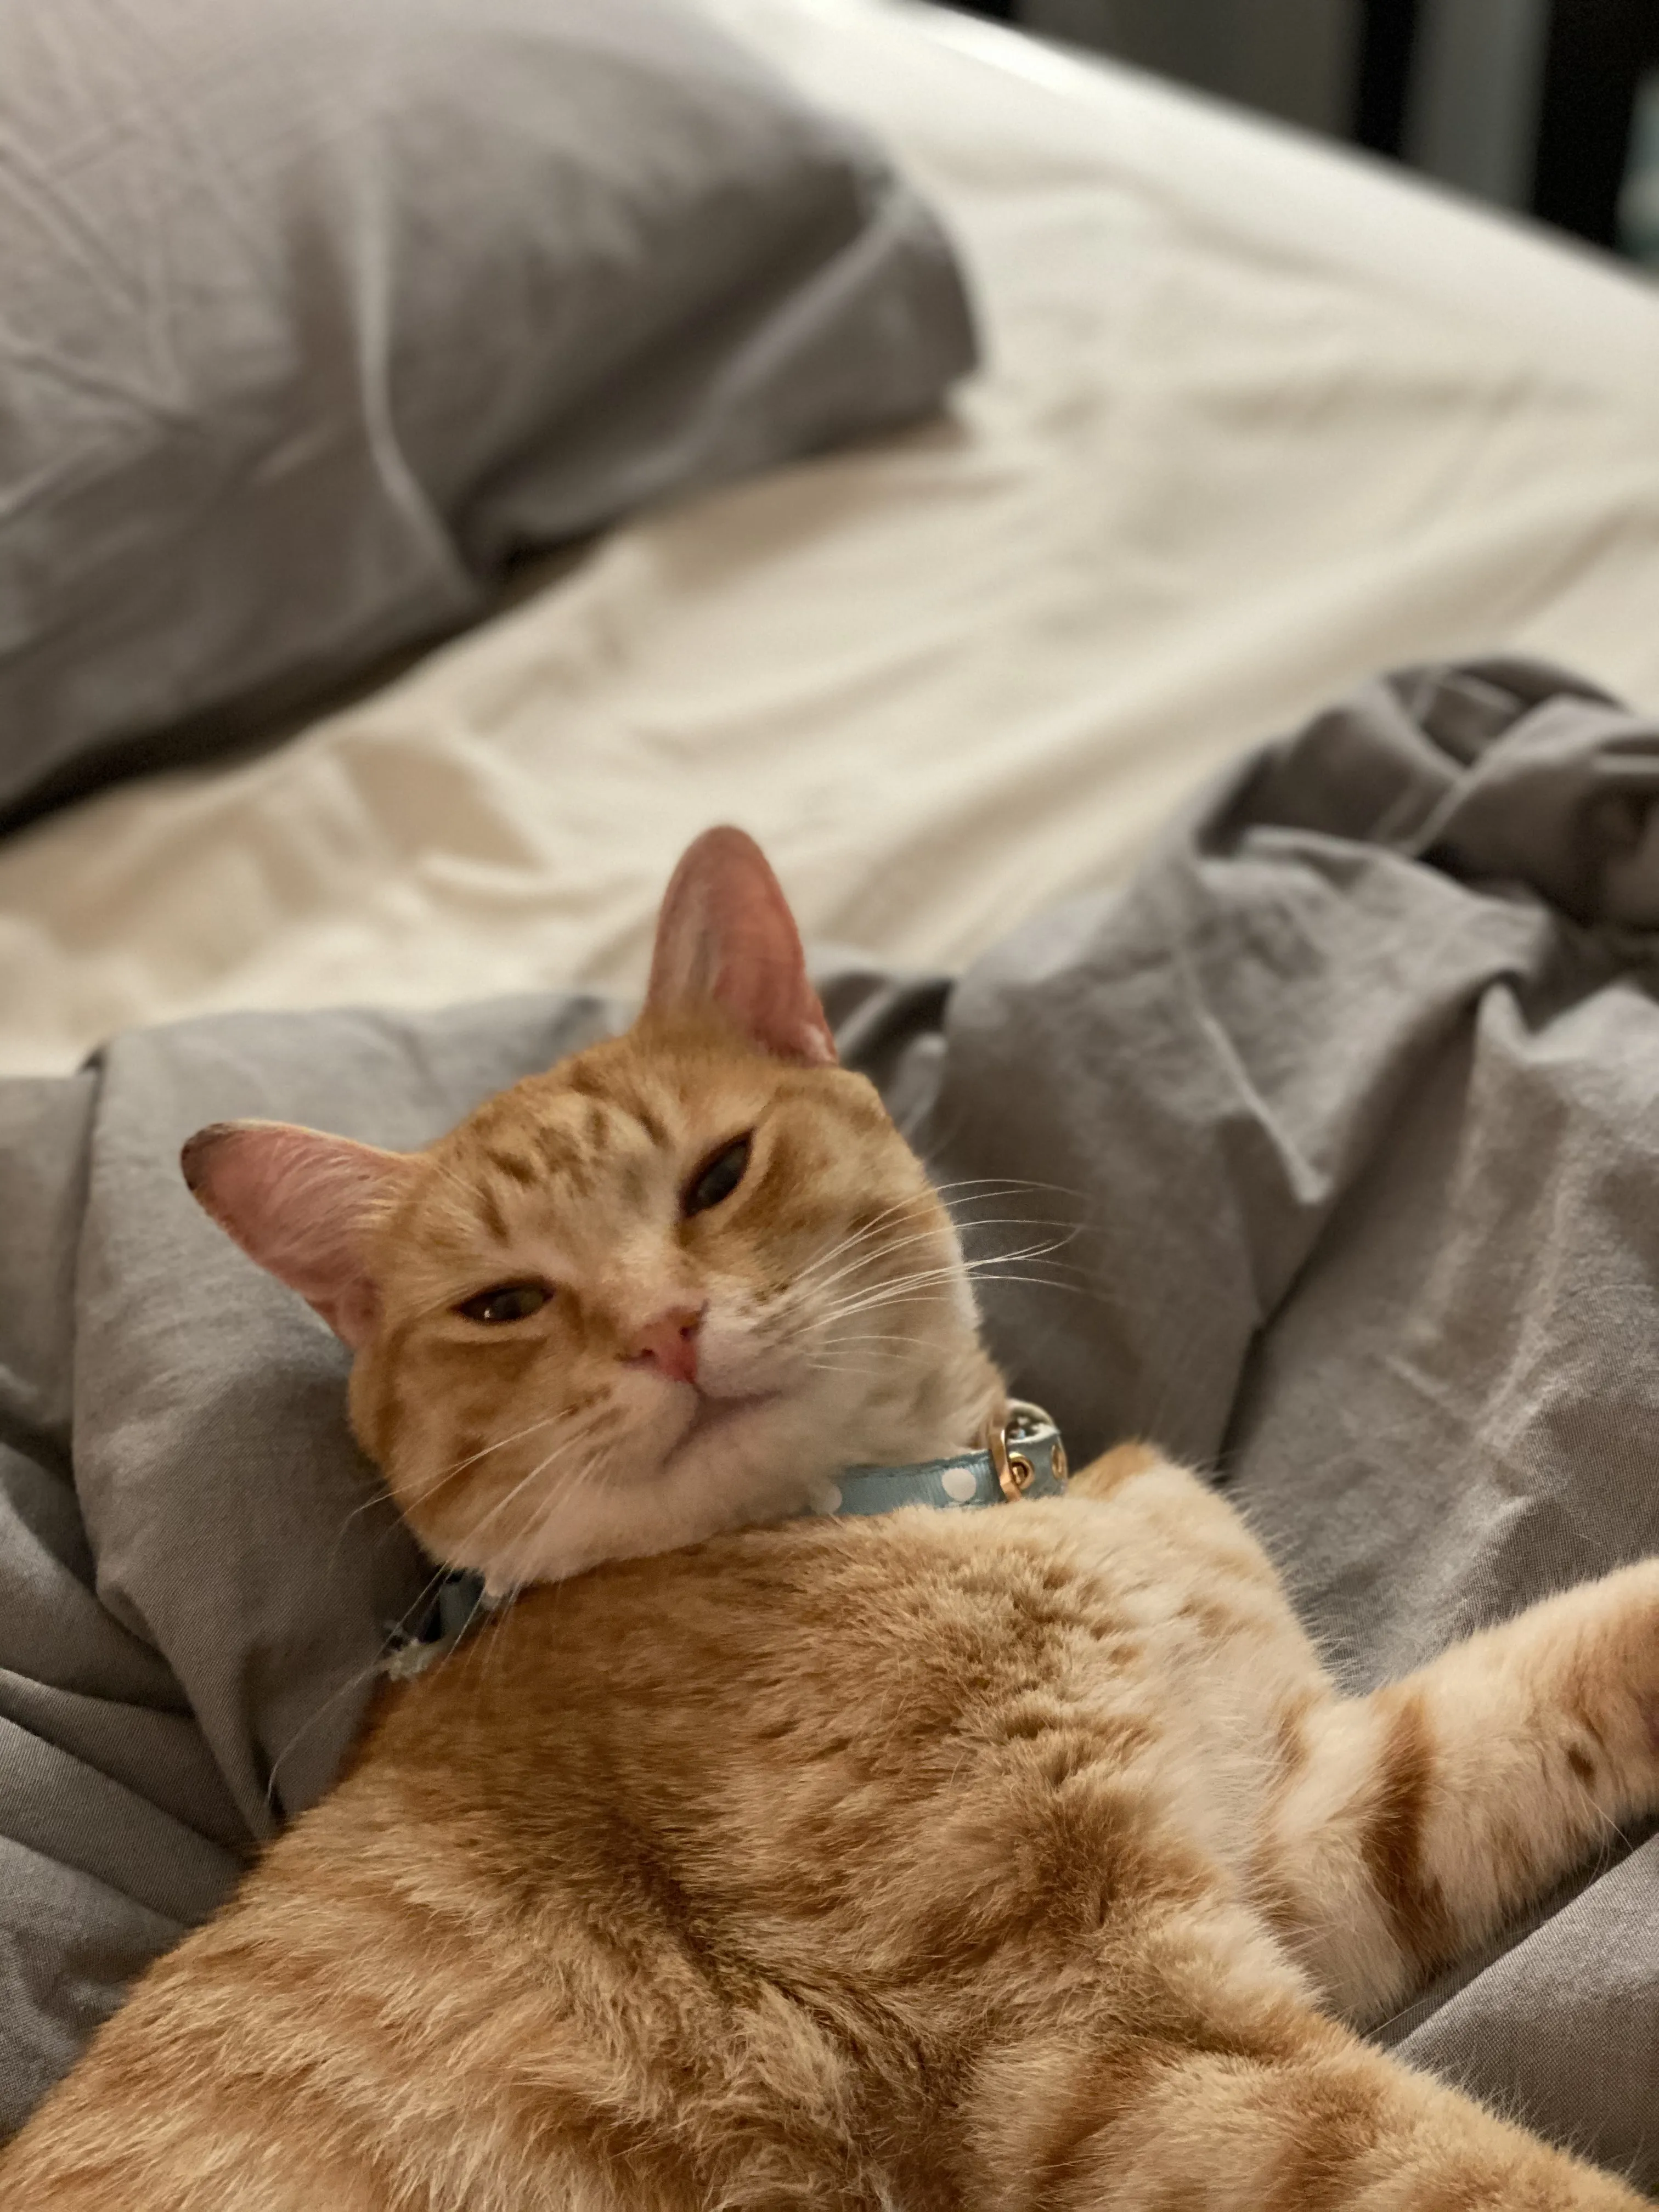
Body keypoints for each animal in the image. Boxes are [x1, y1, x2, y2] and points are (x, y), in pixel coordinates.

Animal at [3, 827, 1659, 2194]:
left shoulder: (1299, 1836)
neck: (954, 1508)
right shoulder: (1096, 2038)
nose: (664, 1330)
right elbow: (1466, 2178)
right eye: (505, 1305)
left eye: (719, 1174)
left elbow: (1537, 1685)